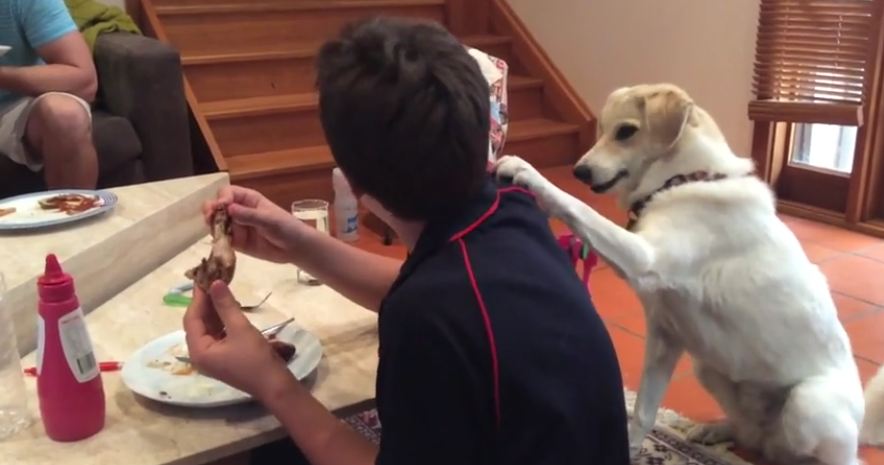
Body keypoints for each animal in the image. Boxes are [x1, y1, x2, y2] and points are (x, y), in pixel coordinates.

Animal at [494, 83, 884, 464]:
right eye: (602, 130)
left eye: (626, 132)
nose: (580, 172)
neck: (684, 180)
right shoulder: (665, 336)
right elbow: (643, 411)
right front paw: (632, 449)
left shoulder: (644, 258)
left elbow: (578, 207)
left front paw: (529, 174)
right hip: (706, 366)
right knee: (752, 435)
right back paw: (717, 431)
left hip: (808, 405)